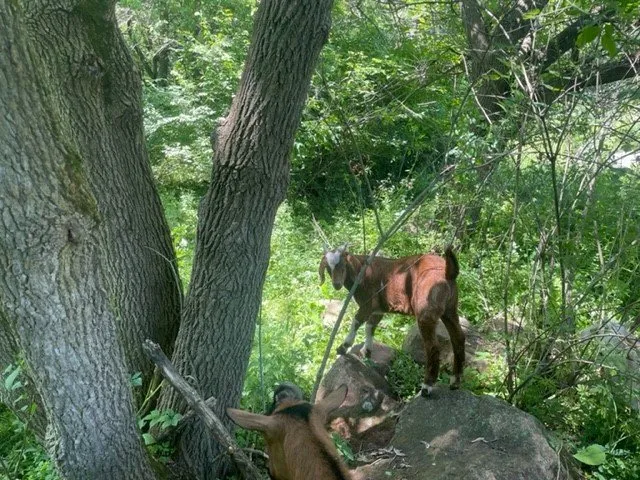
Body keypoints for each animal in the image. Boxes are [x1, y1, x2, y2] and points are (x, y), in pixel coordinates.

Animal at [319, 245, 464, 396]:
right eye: (328, 268)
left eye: (343, 265)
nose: (336, 284)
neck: (362, 271)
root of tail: (447, 272)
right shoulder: (378, 310)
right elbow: (370, 326)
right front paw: (366, 351)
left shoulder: (367, 304)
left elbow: (356, 322)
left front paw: (343, 347)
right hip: (450, 310)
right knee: (458, 338)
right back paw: (455, 381)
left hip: (426, 311)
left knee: (433, 346)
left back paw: (426, 387)